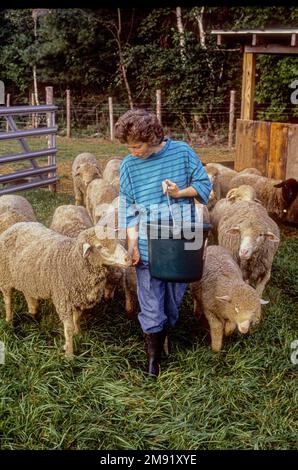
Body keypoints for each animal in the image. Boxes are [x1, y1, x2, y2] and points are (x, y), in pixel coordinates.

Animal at [0, 222, 131, 358]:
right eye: (99, 246)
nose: (129, 258)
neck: (72, 261)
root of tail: (16, 225)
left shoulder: (78, 299)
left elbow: (77, 319)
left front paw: (78, 334)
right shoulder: (63, 301)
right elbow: (68, 329)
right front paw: (69, 354)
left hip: (26, 278)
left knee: (28, 294)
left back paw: (32, 312)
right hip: (5, 278)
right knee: (8, 300)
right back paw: (9, 320)